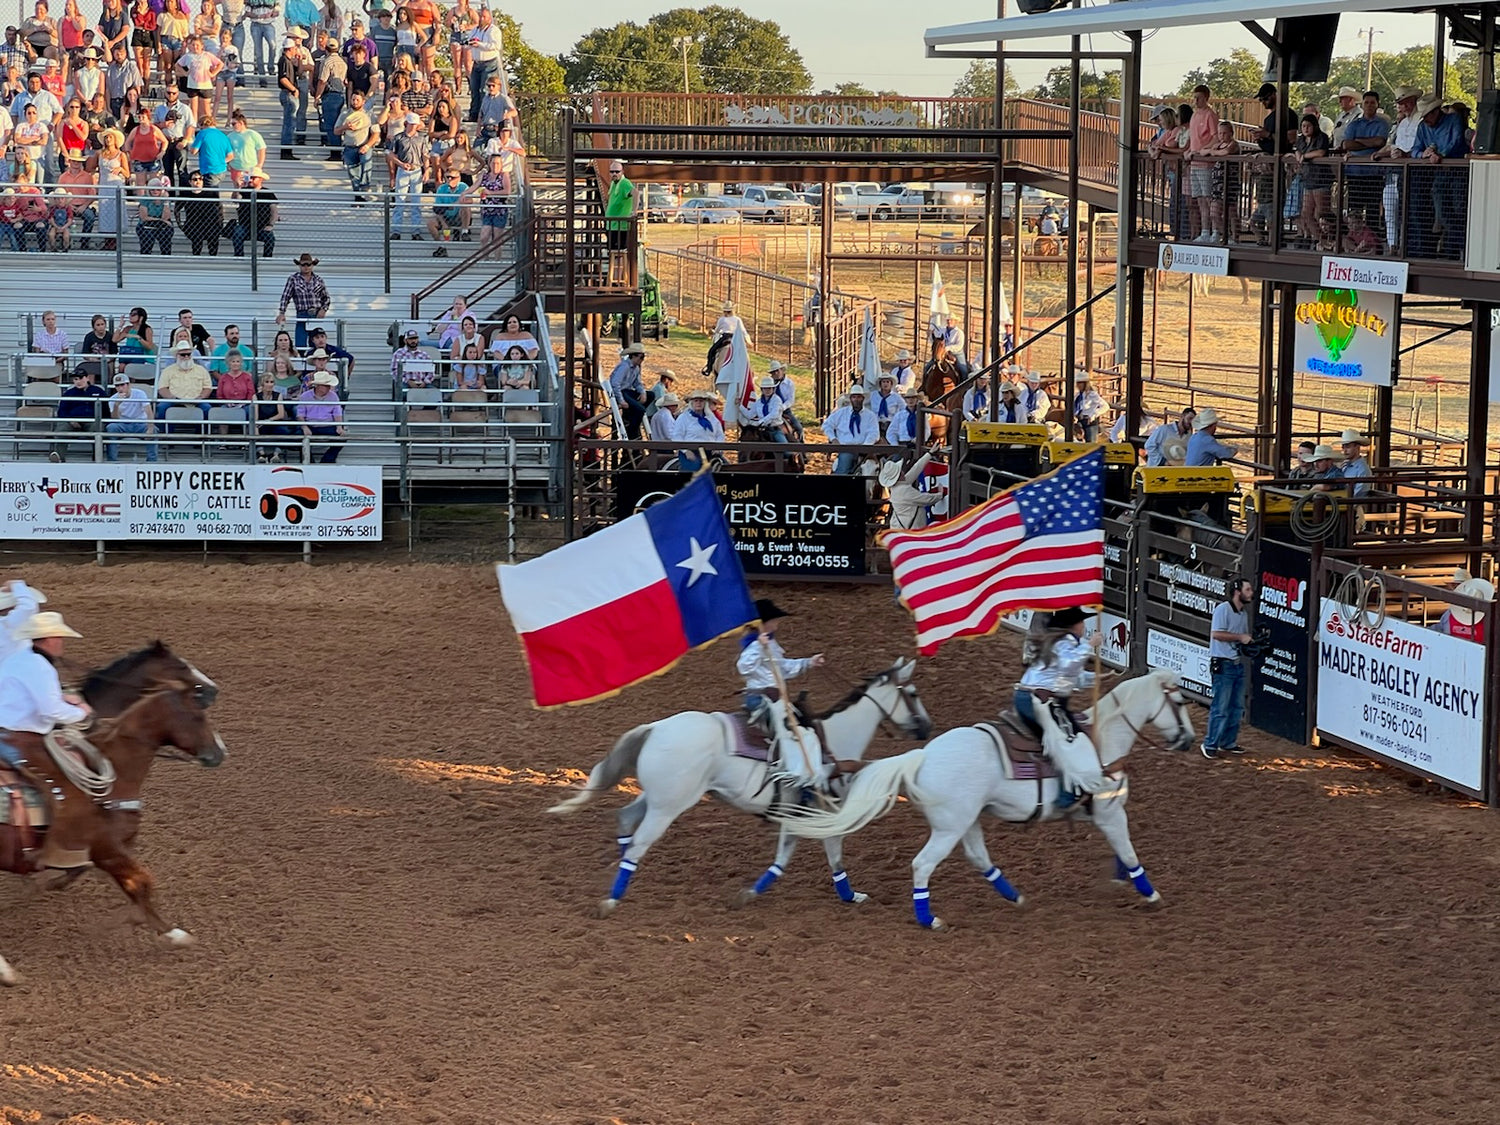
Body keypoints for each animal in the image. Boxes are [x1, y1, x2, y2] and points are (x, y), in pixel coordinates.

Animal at [546, 660, 930, 918]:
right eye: (912, 692)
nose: (927, 727)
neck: (833, 741)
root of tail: (655, 728)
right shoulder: (828, 813)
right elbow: (833, 853)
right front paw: (850, 897)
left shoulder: (798, 814)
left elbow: (782, 859)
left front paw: (747, 895)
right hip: (668, 806)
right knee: (639, 841)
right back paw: (612, 899)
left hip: (658, 797)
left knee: (625, 818)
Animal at [774, 675, 1194, 930]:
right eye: (1179, 702)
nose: (1189, 740)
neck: (1103, 742)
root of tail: (922, 756)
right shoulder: (1110, 812)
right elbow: (1130, 851)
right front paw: (1151, 894)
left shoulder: (1100, 815)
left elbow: (1121, 852)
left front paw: (1121, 880)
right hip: (949, 827)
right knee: (922, 864)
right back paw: (929, 919)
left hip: (966, 820)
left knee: (979, 858)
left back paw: (1016, 897)